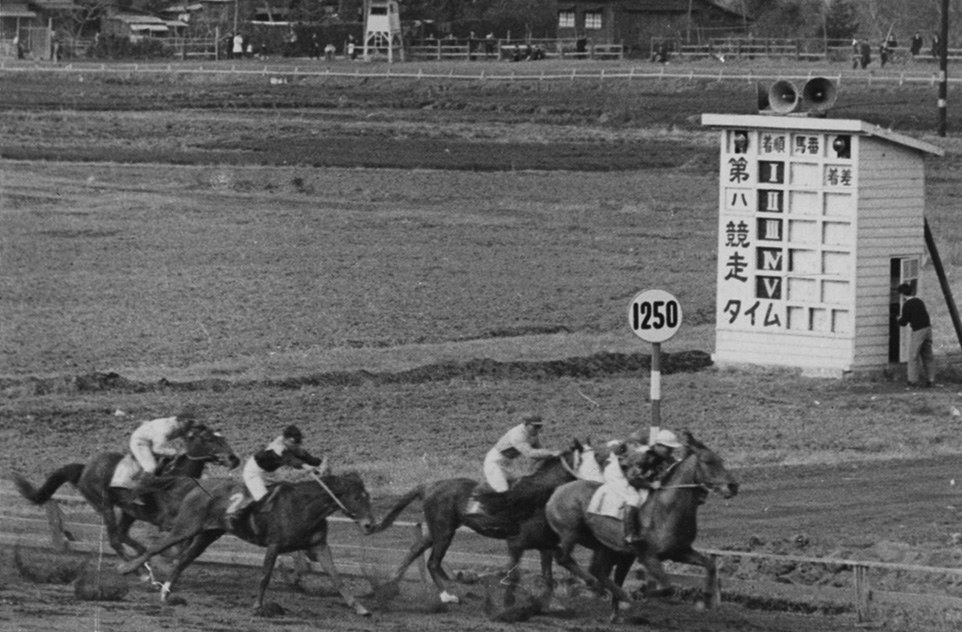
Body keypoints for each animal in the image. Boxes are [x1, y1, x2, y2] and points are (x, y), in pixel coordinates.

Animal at [11, 428, 238, 560]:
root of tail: (85, 468)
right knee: (115, 539)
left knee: (122, 534)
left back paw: (142, 557)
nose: (233, 458)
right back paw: (138, 569)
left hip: (129, 510)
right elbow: (178, 543)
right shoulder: (169, 521)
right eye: (208, 439)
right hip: (103, 504)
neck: (179, 477)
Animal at [116, 472, 376, 616]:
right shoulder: (274, 545)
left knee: (183, 560)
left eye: (368, 497)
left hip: (208, 535)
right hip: (187, 527)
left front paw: (359, 607)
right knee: (157, 547)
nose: (370, 525)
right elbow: (264, 576)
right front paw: (258, 606)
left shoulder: (320, 546)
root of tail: (198, 488)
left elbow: (336, 577)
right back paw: (128, 569)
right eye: (356, 497)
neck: (303, 506)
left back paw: (165, 593)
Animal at [372, 440, 588, 608]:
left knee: (415, 548)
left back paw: (392, 583)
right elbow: (518, 571)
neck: (542, 494)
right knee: (432, 562)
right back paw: (448, 596)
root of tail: (429, 485)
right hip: (444, 531)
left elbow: (550, 573)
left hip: (437, 529)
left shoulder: (545, 543)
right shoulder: (524, 541)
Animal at [544, 430, 740, 624]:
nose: (733, 486)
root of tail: (557, 491)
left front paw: (707, 597)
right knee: (563, 557)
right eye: (708, 462)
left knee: (599, 570)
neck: (667, 507)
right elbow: (668, 587)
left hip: (607, 547)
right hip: (571, 531)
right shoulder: (648, 555)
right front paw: (643, 593)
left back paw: (613, 604)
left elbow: (710, 565)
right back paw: (598, 586)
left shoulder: (680, 551)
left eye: (721, 460)